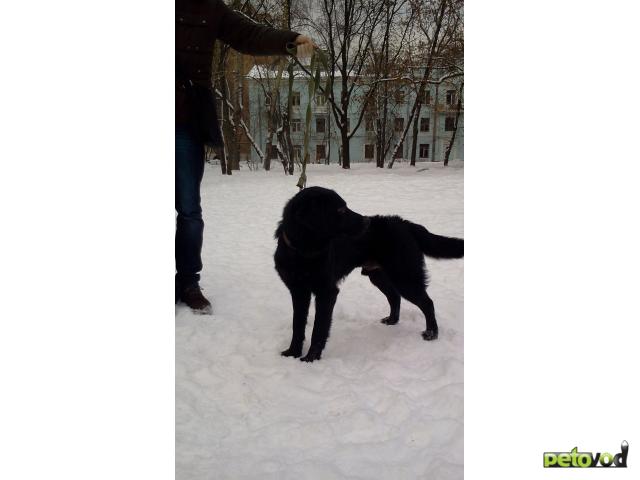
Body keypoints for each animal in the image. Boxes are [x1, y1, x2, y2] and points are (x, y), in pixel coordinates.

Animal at [272, 186, 462, 362]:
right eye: (340, 210)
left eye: (345, 206)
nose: (367, 222)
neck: (303, 252)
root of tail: (405, 224)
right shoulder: (298, 291)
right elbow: (297, 325)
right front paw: (293, 353)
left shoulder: (327, 292)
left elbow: (318, 329)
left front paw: (311, 358)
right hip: (379, 276)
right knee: (395, 297)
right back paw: (392, 320)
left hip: (404, 277)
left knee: (427, 303)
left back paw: (431, 333)